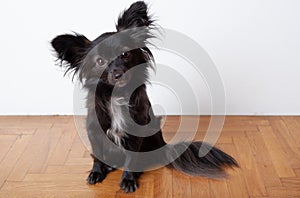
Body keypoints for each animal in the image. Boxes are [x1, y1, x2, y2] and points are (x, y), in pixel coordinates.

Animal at [52, 1, 239, 193]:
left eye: (125, 54)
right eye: (100, 61)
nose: (118, 74)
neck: (116, 95)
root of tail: (164, 146)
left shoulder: (136, 131)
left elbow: (130, 159)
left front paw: (128, 180)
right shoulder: (95, 130)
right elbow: (97, 154)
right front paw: (97, 172)